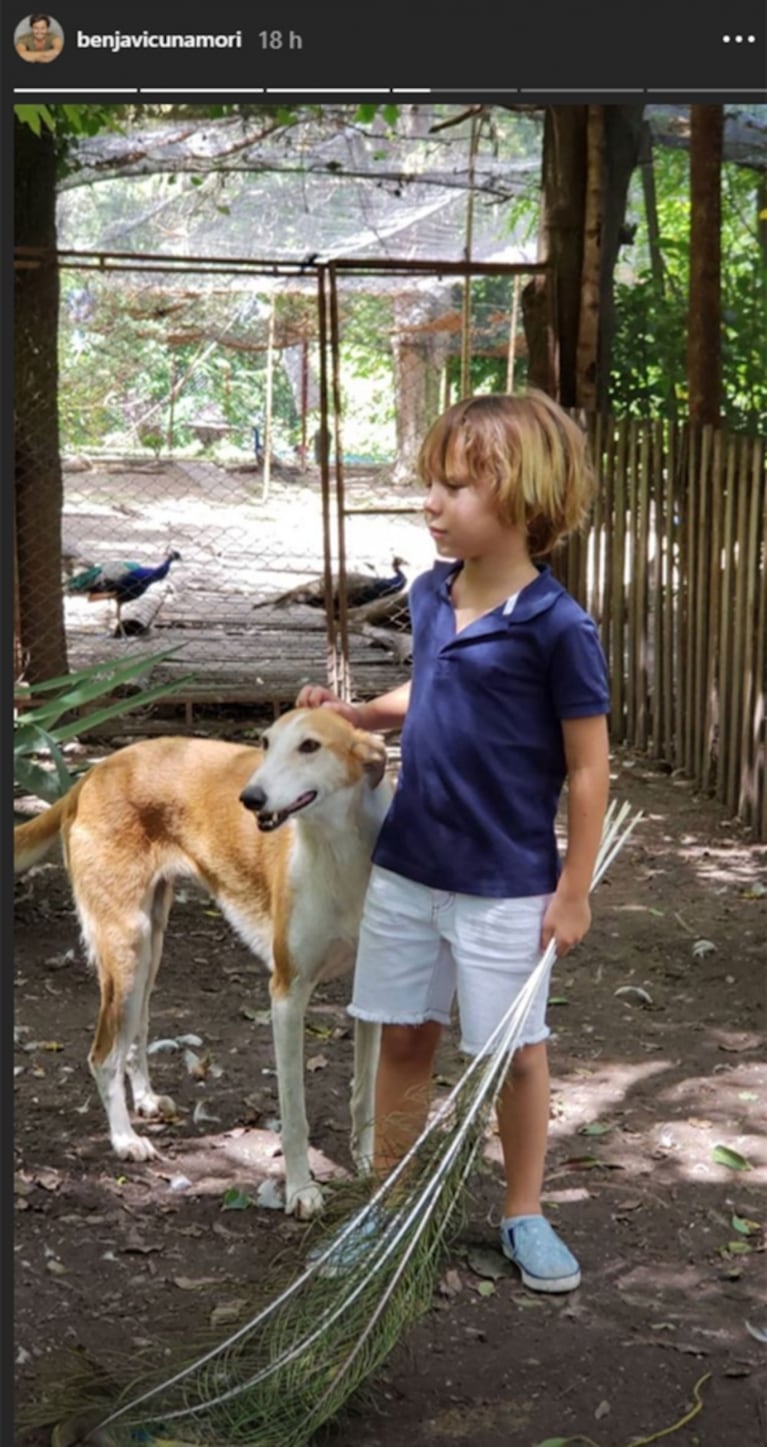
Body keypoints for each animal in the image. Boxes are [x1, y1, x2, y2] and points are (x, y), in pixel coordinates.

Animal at [14, 706, 390, 1215]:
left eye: (310, 745)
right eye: (265, 743)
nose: (250, 799)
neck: (337, 849)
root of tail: (92, 774)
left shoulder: (368, 993)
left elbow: (364, 1096)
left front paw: (369, 1168)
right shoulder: (286, 995)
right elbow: (295, 1113)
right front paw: (301, 1190)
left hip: (150, 946)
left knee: (136, 1033)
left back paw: (146, 1100)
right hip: (125, 945)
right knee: (102, 1054)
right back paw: (124, 1138)